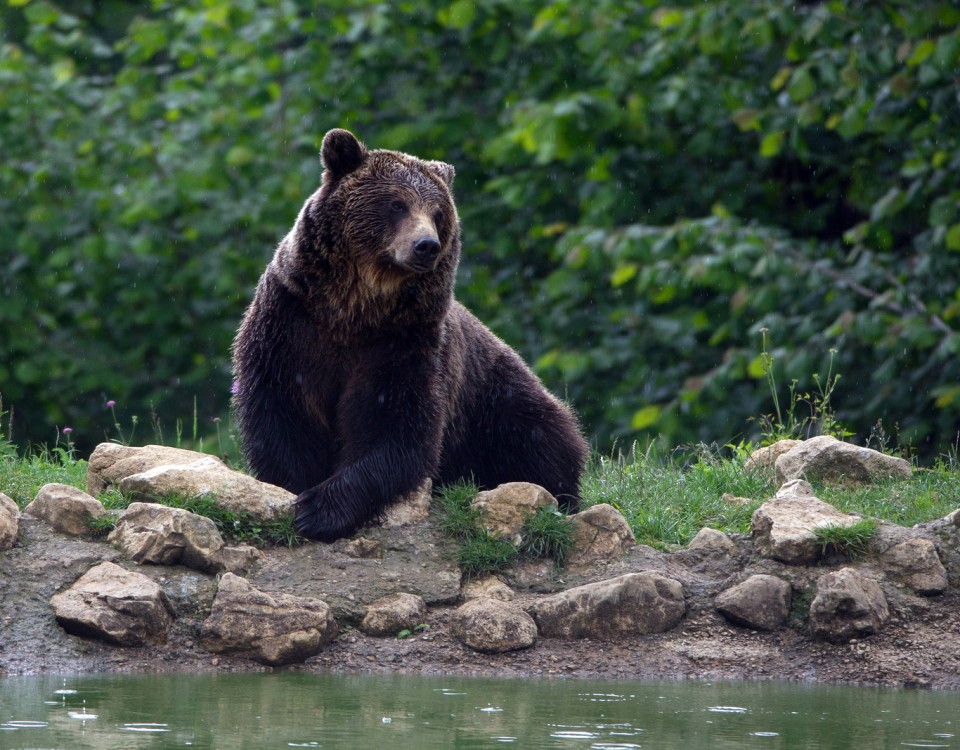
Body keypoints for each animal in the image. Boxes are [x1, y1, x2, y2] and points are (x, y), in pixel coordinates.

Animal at [234, 129, 584, 540]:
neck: (353, 309)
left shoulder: (404, 342)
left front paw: (320, 508)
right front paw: (296, 491)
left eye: (438, 212)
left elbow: (399, 427)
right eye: (396, 204)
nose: (426, 245)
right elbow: (282, 414)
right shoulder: (290, 324)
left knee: (543, 441)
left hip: (497, 400)